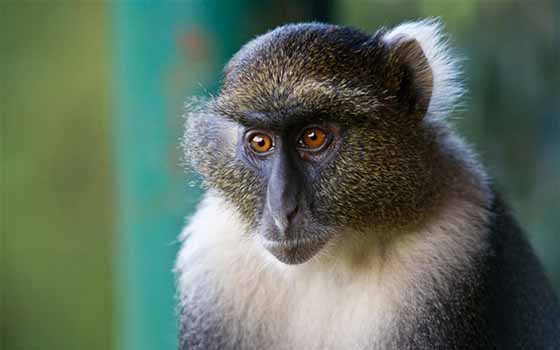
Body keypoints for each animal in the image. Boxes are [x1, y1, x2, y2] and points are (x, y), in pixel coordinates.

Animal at [175, 19, 560, 350]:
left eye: (313, 137)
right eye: (260, 142)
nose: (283, 211)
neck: (329, 262)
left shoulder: (455, 251)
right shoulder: (211, 266)